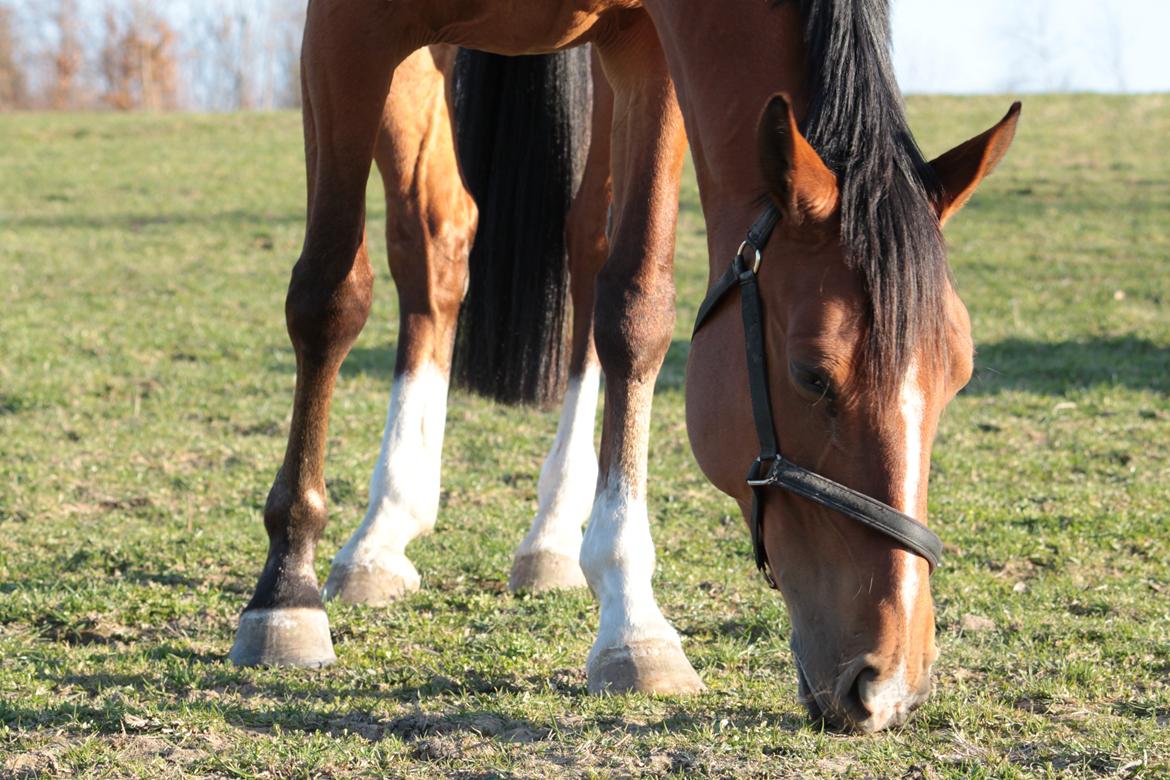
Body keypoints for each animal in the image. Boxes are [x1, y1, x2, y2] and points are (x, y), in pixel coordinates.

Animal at [225, 0, 1015, 739]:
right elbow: (329, 294)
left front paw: (633, 622)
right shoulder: (349, 28)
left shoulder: (646, 46)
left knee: (566, 239)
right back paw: (378, 534)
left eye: (959, 377)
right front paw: (285, 589)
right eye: (813, 375)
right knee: (430, 240)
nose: (890, 683)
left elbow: (636, 306)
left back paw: (544, 533)